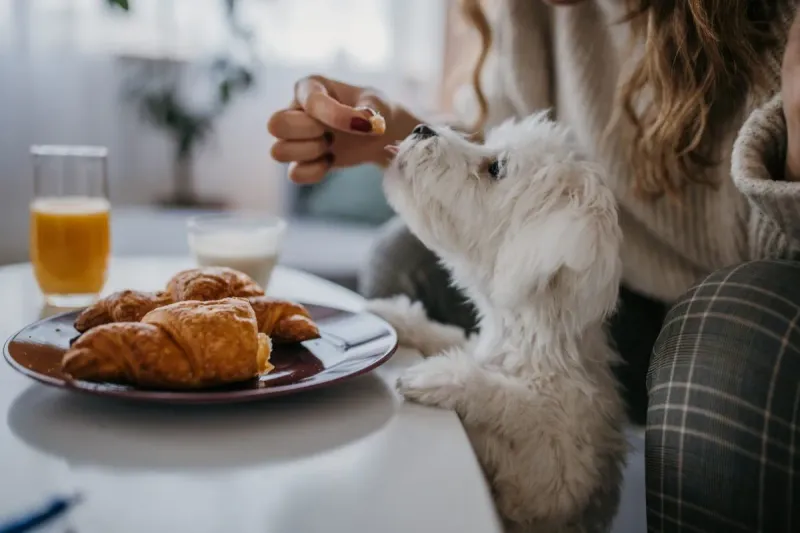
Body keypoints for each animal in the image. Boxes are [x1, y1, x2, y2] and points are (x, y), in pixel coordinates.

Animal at [370, 113, 632, 532]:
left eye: (496, 168)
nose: (421, 128)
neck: (523, 340)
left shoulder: (553, 480)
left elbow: (519, 404)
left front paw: (440, 376)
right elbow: (448, 335)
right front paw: (393, 317)